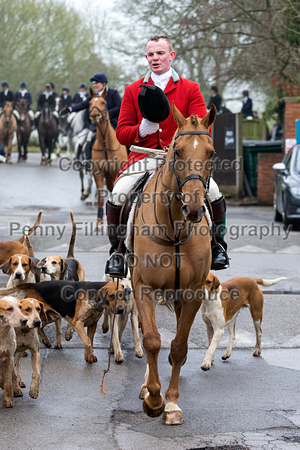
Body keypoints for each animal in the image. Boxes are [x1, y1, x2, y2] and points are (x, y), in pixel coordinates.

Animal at [88, 88, 127, 229]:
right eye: (89, 103)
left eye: (103, 102)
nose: (94, 116)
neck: (105, 143)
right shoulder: (98, 174)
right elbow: (100, 198)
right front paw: (99, 221)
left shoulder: (116, 174)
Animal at [132, 103, 217, 426]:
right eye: (177, 151)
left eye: (211, 153)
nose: (192, 208)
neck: (176, 227)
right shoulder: (143, 287)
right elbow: (152, 340)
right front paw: (154, 399)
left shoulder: (193, 291)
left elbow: (179, 346)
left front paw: (170, 403)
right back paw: (146, 386)